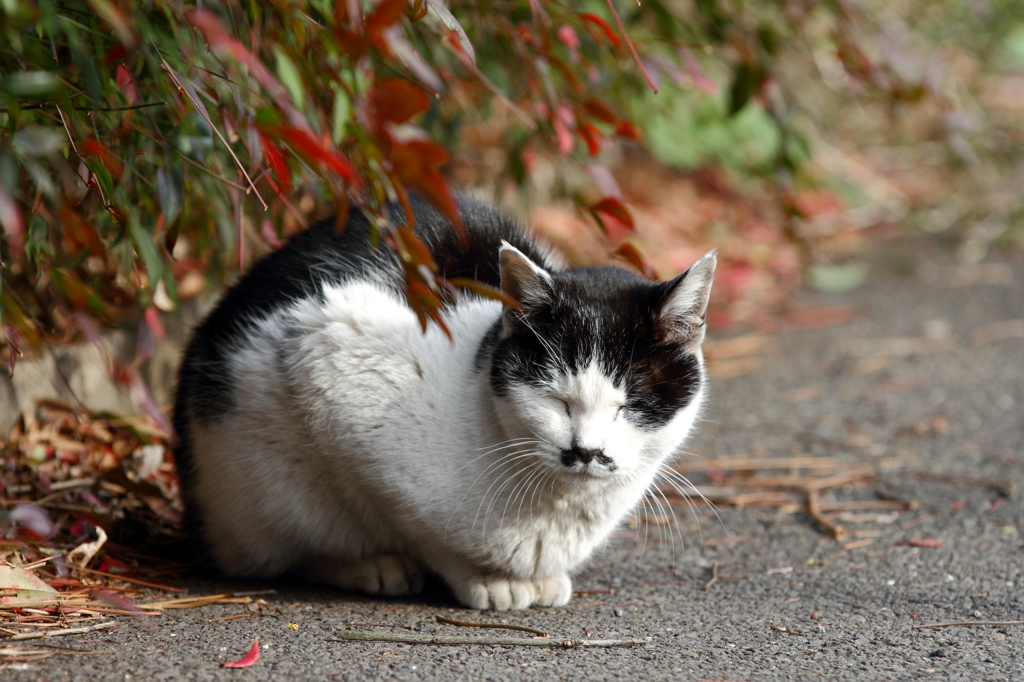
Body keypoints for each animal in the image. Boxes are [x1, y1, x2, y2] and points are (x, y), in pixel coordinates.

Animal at [172, 193, 716, 606]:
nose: (585, 452)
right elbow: (418, 528)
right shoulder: (334, 355)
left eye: (631, 404)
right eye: (557, 398)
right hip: (254, 476)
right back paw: (371, 566)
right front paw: (487, 580)